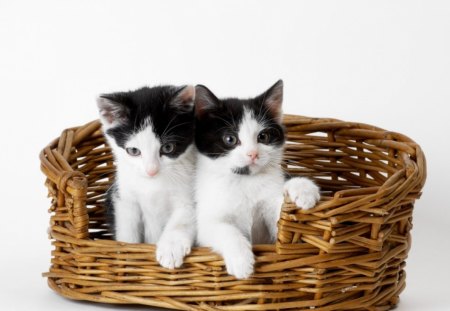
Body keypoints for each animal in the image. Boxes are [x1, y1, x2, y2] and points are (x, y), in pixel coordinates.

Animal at [97, 85, 196, 270]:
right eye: (133, 151)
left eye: (168, 147)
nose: (151, 170)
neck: (152, 183)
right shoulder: (124, 198)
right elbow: (127, 231)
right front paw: (127, 256)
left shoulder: (190, 196)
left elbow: (182, 218)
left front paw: (170, 248)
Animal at [193, 80, 320, 280]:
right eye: (230, 139)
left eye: (263, 136)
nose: (252, 154)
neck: (245, 180)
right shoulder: (206, 220)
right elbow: (222, 229)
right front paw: (241, 261)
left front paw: (303, 190)